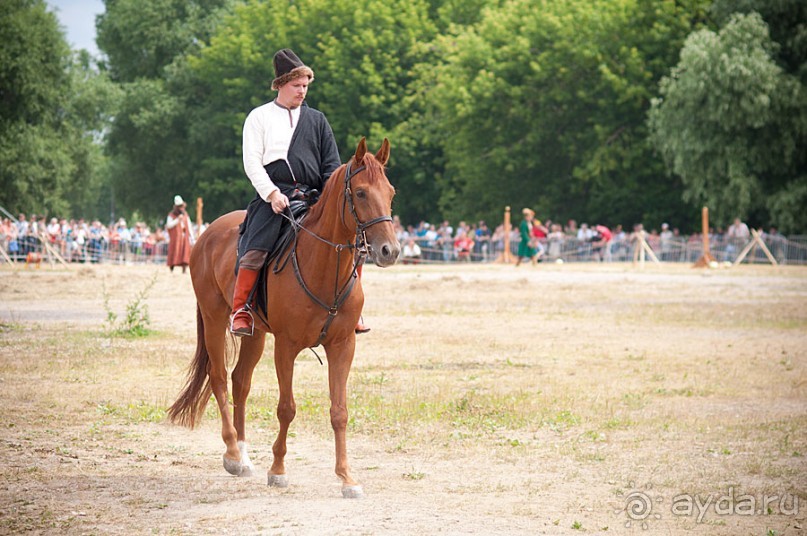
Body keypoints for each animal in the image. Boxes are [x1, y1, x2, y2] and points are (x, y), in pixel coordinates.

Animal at [168, 138, 400, 498]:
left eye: (390, 192)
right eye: (361, 193)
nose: (390, 250)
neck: (322, 266)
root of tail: (206, 235)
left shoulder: (343, 345)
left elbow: (339, 412)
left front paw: (347, 478)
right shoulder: (286, 346)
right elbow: (286, 408)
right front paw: (277, 469)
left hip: (255, 334)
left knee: (240, 382)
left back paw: (244, 454)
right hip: (214, 318)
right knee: (218, 378)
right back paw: (232, 454)